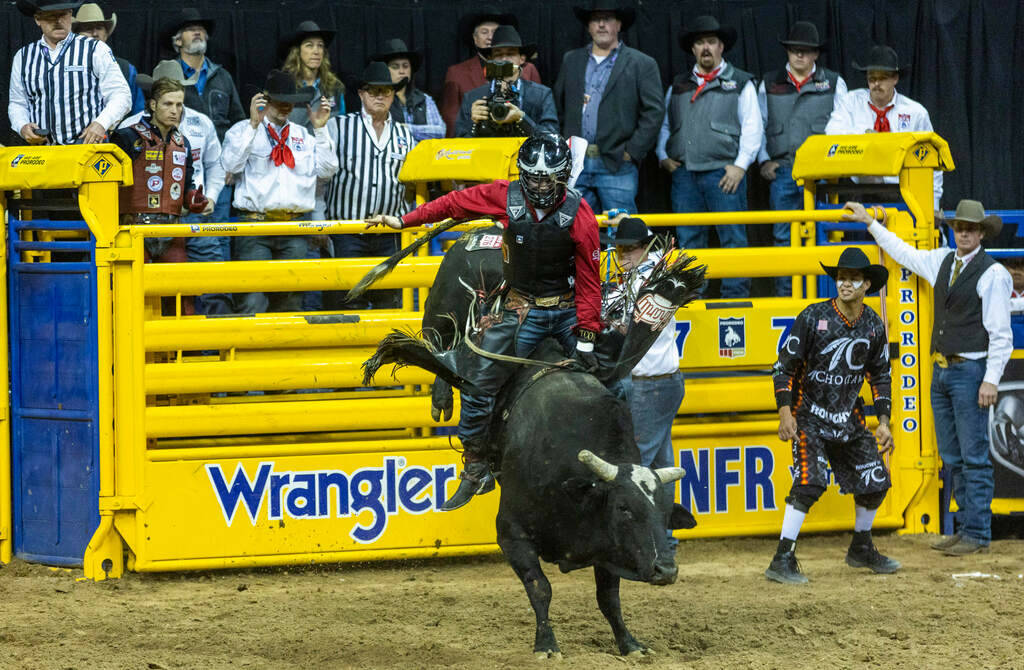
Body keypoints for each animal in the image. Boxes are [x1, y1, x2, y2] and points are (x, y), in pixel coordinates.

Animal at [364, 225, 708, 655]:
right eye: (625, 509)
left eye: (664, 511)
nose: (666, 568)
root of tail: (489, 230)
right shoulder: (511, 533)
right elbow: (540, 587)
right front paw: (546, 642)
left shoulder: (606, 547)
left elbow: (608, 598)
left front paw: (629, 642)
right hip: (443, 309)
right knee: (442, 349)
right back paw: (444, 403)